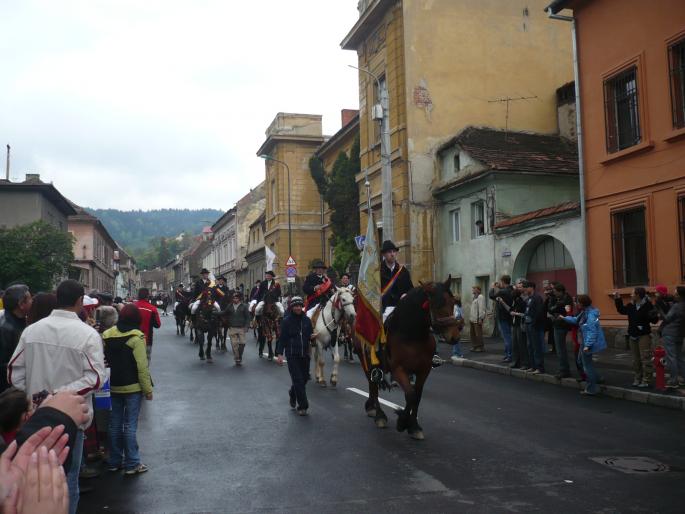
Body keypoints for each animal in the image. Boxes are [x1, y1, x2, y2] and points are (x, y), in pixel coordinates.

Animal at [352, 276, 460, 440]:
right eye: (437, 304)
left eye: (453, 302)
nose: (454, 336)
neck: (413, 336)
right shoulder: (398, 370)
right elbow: (410, 395)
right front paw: (402, 421)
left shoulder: (424, 370)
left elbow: (417, 396)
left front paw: (414, 426)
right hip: (367, 363)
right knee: (374, 386)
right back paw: (379, 416)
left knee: (373, 386)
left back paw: (372, 409)